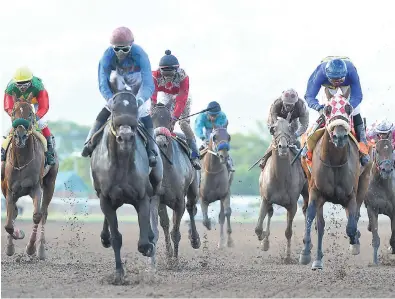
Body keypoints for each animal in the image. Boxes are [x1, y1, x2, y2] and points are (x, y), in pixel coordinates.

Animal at [0, 97, 58, 262]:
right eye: (14, 112)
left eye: (31, 113)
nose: (20, 136)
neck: (22, 159)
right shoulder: (9, 190)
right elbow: (9, 222)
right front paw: (12, 243)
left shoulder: (36, 188)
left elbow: (37, 216)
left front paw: (30, 248)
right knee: (14, 214)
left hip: (50, 184)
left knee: (43, 214)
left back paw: (41, 250)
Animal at [90, 91, 163, 284]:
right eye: (114, 110)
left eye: (135, 110)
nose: (126, 137)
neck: (122, 163)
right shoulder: (106, 198)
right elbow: (116, 237)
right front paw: (119, 274)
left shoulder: (141, 197)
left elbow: (144, 242)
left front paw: (149, 245)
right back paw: (104, 237)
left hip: (155, 183)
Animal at [151, 104, 203, 264]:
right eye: (151, 118)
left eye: (169, 119)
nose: (160, 142)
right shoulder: (158, 198)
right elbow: (165, 225)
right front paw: (169, 256)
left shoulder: (179, 201)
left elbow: (175, 232)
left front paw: (175, 260)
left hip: (193, 190)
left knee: (191, 209)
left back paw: (195, 239)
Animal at [255, 116, 310, 258]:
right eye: (274, 130)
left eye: (290, 129)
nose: (283, 147)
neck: (280, 179)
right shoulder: (265, 199)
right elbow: (258, 228)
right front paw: (263, 239)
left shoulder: (292, 205)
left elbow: (288, 231)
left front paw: (287, 256)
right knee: (270, 213)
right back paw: (265, 241)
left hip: (307, 192)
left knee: (307, 210)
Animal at [302, 95, 372, 270]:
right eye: (327, 109)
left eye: (348, 108)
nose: (339, 136)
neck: (334, 161)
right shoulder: (315, 192)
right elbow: (311, 218)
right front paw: (305, 252)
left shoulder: (351, 195)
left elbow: (351, 226)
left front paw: (355, 242)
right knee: (320, 224)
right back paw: (318, 260)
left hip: (364, 181)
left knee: (355, 215)